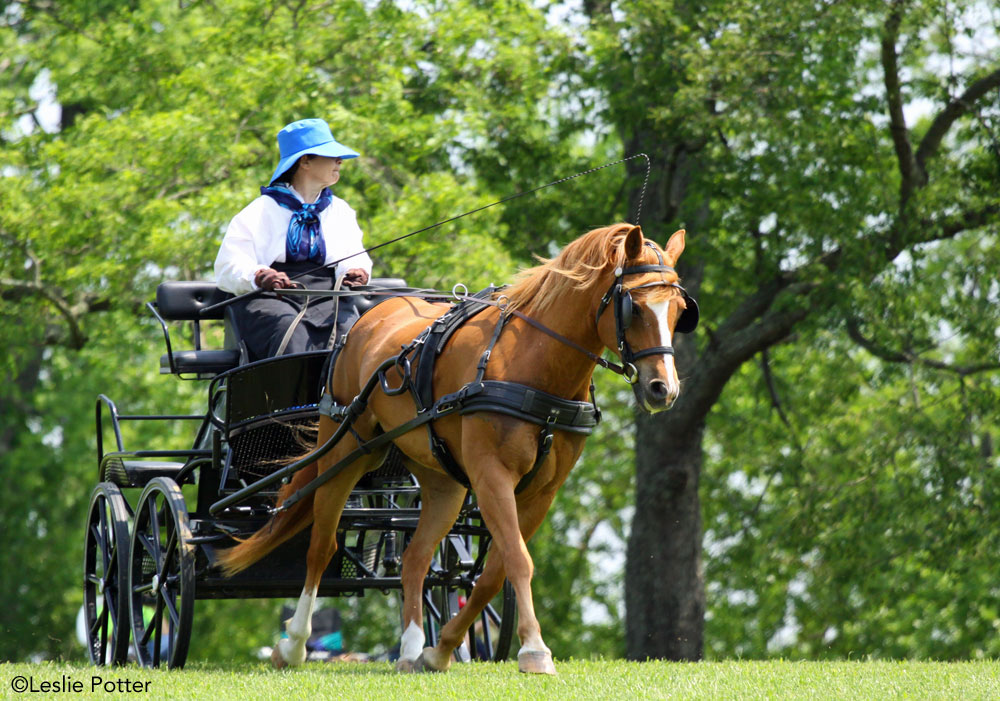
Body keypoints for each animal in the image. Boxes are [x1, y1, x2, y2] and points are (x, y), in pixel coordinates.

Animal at [218, 223, 688, 672]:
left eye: (681, 311)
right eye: (634, 307)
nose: (663, 389)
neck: (536, 367)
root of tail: (367, 318)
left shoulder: (541, 492)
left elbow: (492, 573)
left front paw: (441, 649)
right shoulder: (490, 475)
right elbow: (518, 560)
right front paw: (535, 650)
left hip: (442, 481)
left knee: (415, 558)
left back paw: (410, 649)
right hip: (346, 447)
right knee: (321, 548)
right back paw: (294, 645)